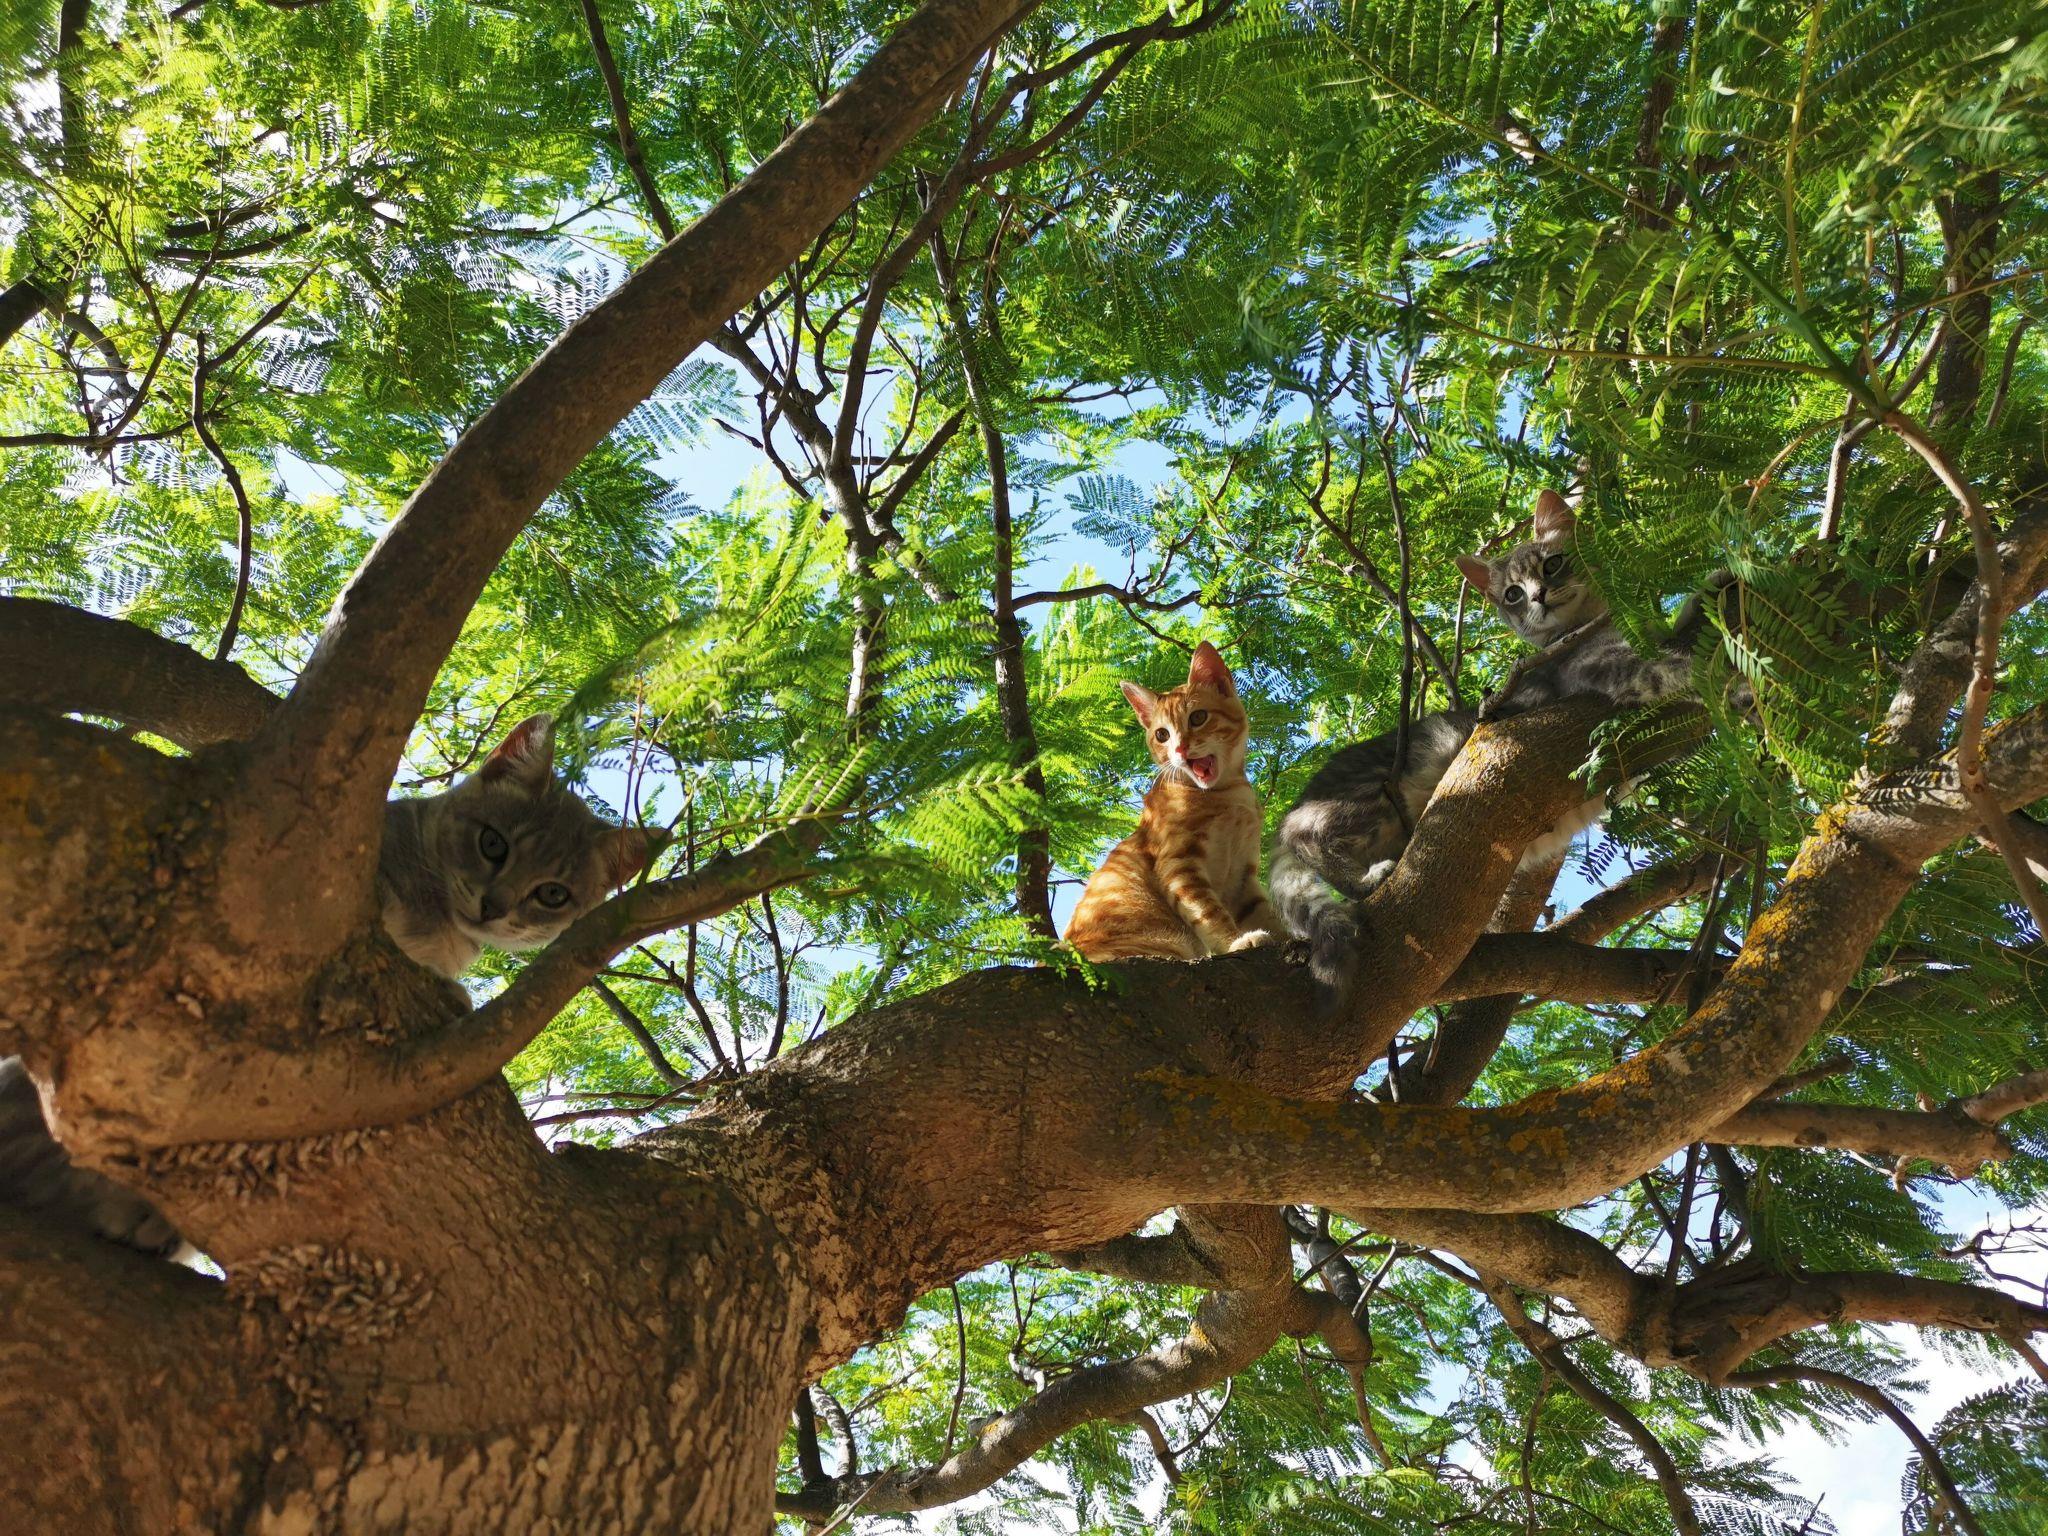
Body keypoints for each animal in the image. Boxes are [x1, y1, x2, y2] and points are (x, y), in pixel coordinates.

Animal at [1065, 642, 1279, 961]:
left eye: (1198, 718)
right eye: (1162, 735)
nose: (1179, 749)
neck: (1227, 793)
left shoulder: (1244, 876)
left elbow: (1265, 914)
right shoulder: (1179, 865)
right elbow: (1210, 914)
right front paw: (1236, 942)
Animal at [1270, 490, 1709, 1003]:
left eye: (1553, 564)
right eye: (1513, 594)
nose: (1538, 596)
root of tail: (1300, 798)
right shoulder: (1602, 669)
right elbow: (1668, 667)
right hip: (1374, 794)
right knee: (1306, 834)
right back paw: (1361, 877)